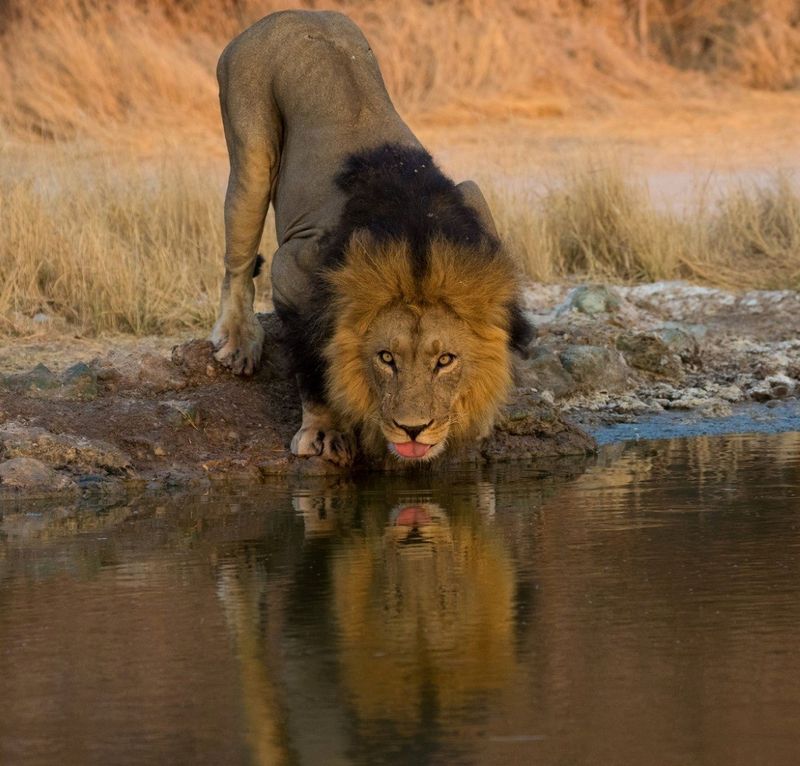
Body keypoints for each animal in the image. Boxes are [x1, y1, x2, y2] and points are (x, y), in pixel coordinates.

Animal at [211, 10, 532, 466]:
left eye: (445, 360)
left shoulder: (476, 204)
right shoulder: (293, 268)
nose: (413, 429)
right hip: (250, 142)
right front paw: (324, 432)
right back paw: (239, 340)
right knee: (237, 262)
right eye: (386, 358)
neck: (417, 250)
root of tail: (291, 13)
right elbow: (314, 362)